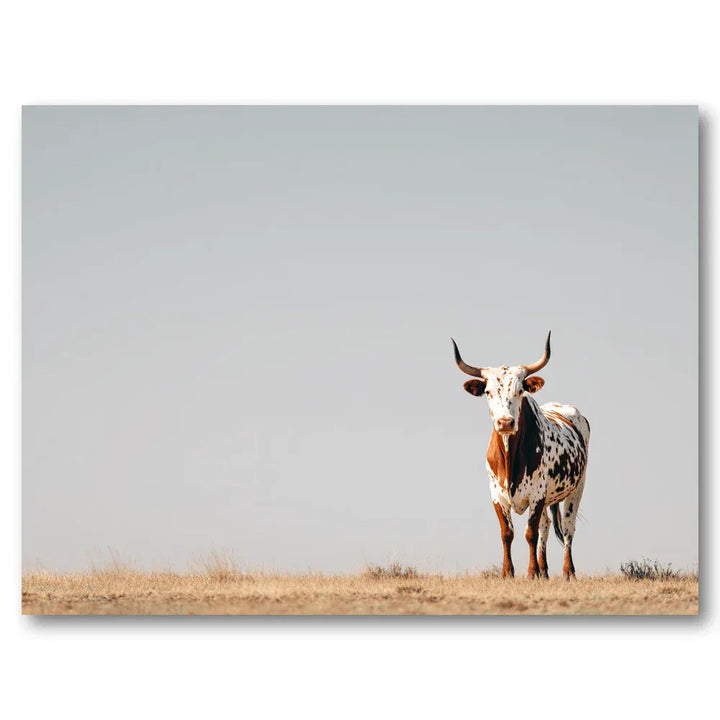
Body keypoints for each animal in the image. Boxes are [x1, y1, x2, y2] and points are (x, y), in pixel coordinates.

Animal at [452, 332, 590, 580]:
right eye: (488, 392)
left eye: (520, 391)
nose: (505, 422)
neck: (510, 458)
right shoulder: (496, 494)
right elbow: (508, 532)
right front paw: (508, 571)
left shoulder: (537, 494)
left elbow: (530, 534)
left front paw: (531, 572)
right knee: (546, 527)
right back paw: (545, 571)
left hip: (577, 488)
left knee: (567, 529)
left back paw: (568, 571)